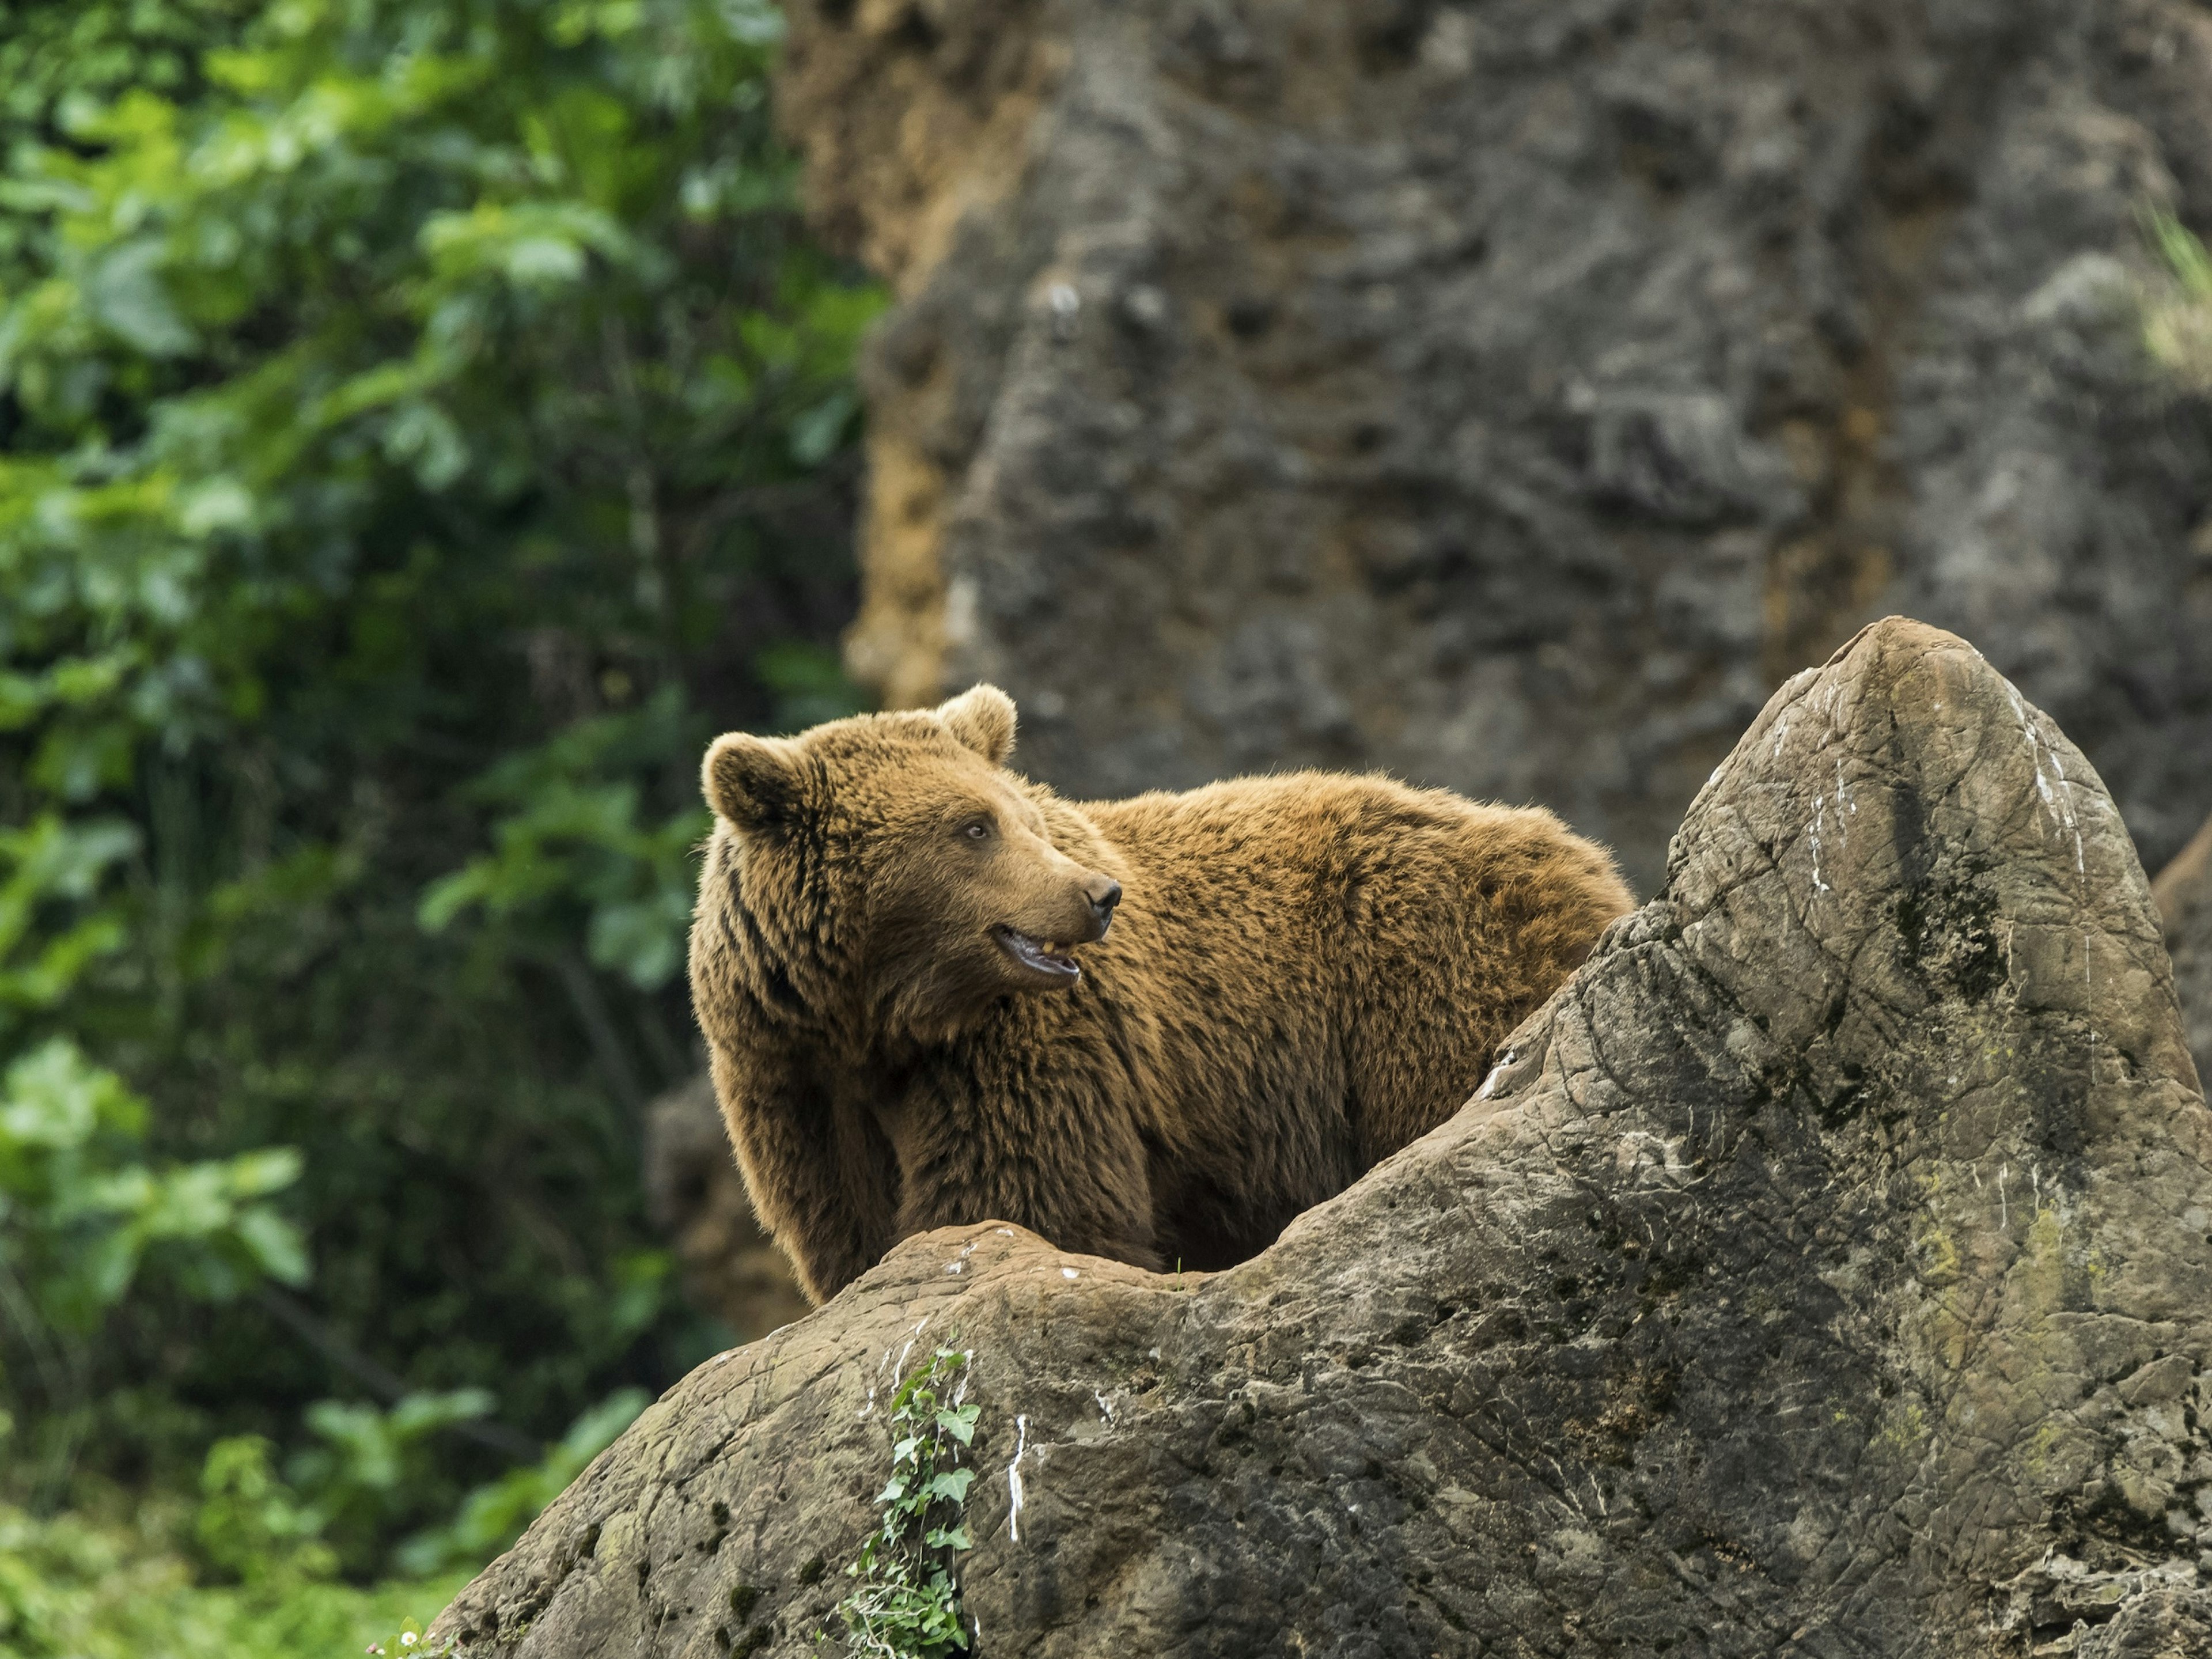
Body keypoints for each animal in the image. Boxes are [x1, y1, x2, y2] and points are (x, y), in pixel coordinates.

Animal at [681, 681, 1637, 1309]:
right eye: (974, 827)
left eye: (1014, 814)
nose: (1097, 895)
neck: (884, 1019)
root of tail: (1582, 853)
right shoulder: (793, 1084)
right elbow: (851, 1233)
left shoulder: (1023, 1051)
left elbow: (1029, 1205)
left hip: (1422, 970)